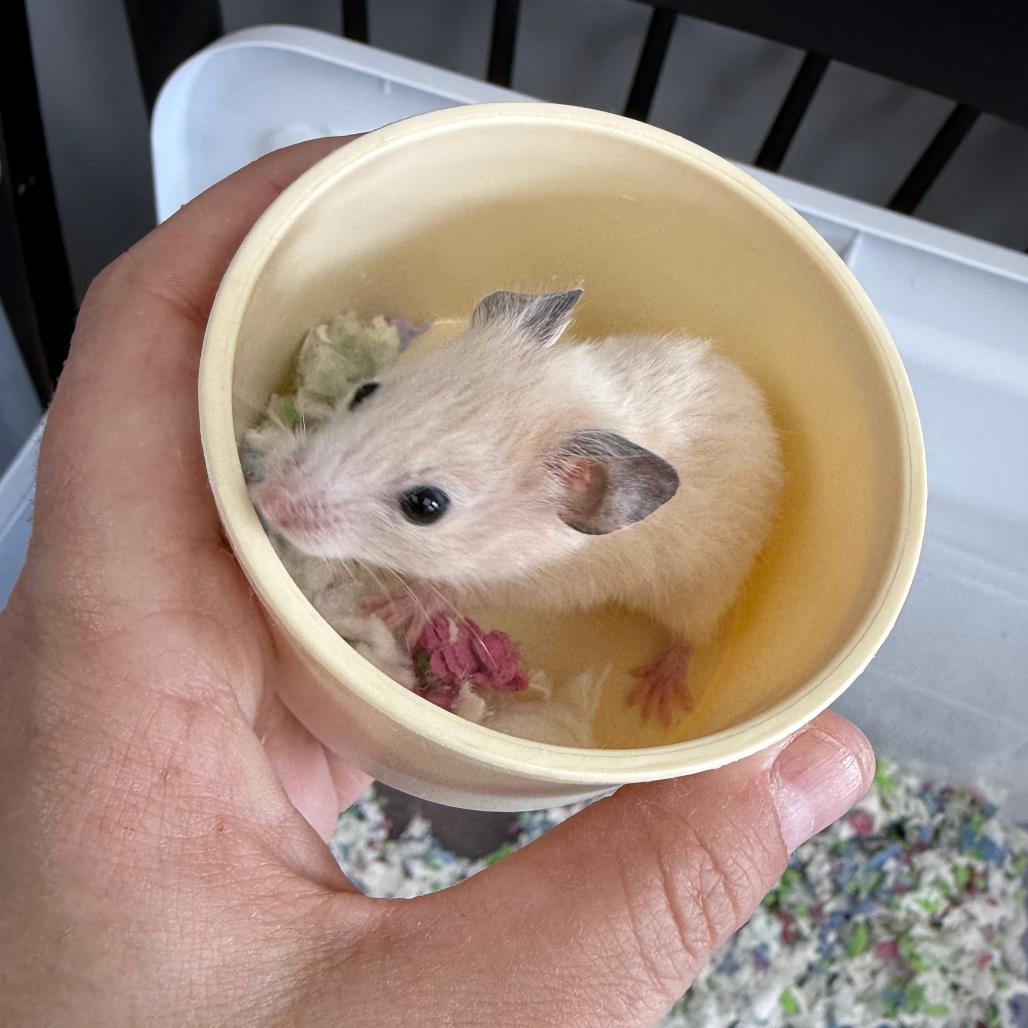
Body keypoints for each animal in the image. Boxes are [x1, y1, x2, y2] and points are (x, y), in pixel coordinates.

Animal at [252, 289, 782, 726]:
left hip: (705, 583)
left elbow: (450, 589)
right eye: (363, 392)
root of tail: (763, 409)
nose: (268, 502)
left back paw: (658, 698)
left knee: (691, 634)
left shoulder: (543, 585)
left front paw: (392, 605)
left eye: (427, 505)